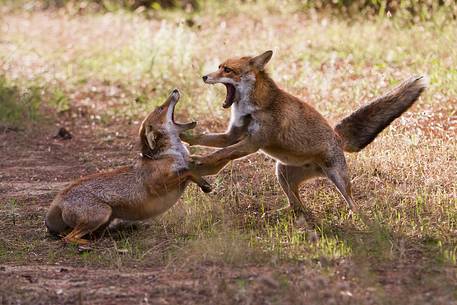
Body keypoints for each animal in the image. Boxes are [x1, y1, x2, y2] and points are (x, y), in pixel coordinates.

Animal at [44, 88, 212, 245]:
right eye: (160, 108)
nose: (175, 90)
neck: (170, 154)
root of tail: (58, 199)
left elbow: (190, 170)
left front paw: (203, 182)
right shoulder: (159, 185)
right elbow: (188, 171)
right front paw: (204, 184)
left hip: (105, 218)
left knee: (71, 235)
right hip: (102, 213)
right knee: (67, 238)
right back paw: (90, 243)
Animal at [183, 50, 428, 216]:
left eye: (227, 70)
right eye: (219, 66)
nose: (204, 77)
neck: (252, 107)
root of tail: (337, 137)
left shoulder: (252, 143)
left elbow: (220, 153)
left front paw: (199, 159)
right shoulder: (233, 135)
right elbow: (206, 139)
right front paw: (185, 138)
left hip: (338, 179)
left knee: (351, 203)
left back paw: (354, 217)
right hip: (281, 172)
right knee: (296, 206)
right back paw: (281, 215)